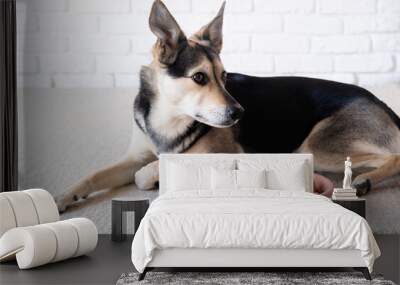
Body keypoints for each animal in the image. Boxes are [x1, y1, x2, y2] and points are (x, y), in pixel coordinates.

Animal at [54, 0, 400, 212]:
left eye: (223, 76)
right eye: (199, 77)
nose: (240, 114)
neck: (169, 118)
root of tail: (380, 102)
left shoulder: (223, 155)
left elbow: (148, 171)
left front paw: (154, 177)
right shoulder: (133, 156)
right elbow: (95, 174)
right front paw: (63, 197)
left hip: (316, 145)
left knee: (394, 156)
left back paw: (364, 180)